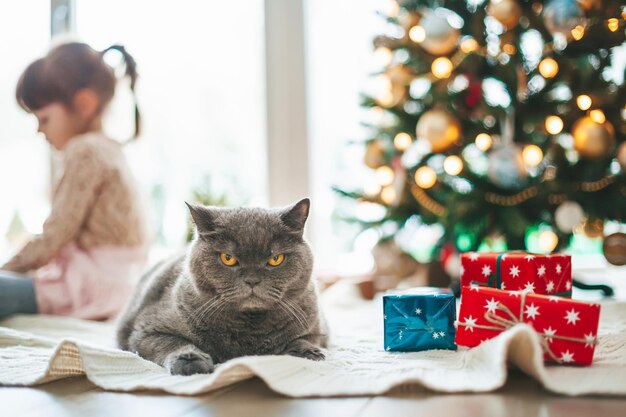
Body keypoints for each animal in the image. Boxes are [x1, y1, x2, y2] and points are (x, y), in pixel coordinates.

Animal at [116, 198, 326, 374]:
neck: (249, 328)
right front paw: (191, 360)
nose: (252, 280)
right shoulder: (145, 330)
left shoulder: (317, 327)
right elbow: (172, 342)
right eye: (228, 258)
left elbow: (303, 338)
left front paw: (310, 353)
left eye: (276, 259)